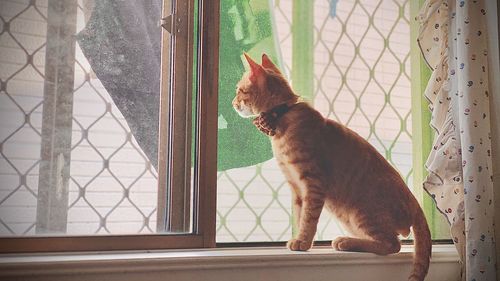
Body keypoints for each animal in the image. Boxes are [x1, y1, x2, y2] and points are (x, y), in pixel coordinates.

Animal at [232, 53, 432, 280]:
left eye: (240, 91)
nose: (233, 103)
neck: (283, 117)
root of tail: (415, 203)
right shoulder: (296, 189)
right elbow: (300, 215)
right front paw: (299, 238)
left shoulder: (313, 182)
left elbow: (309, 217)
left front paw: (303, 242)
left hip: (362, 211)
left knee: (393, 244)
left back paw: (346, 242)